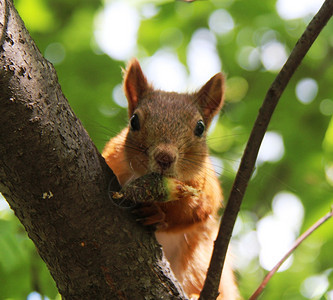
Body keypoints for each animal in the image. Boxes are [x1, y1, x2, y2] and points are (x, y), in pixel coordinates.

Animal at [102, 58, 237, 300]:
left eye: (200, 127)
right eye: (134, 121)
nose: (164, 157)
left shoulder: (206, 186)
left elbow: (195, 211)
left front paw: (156, 213)